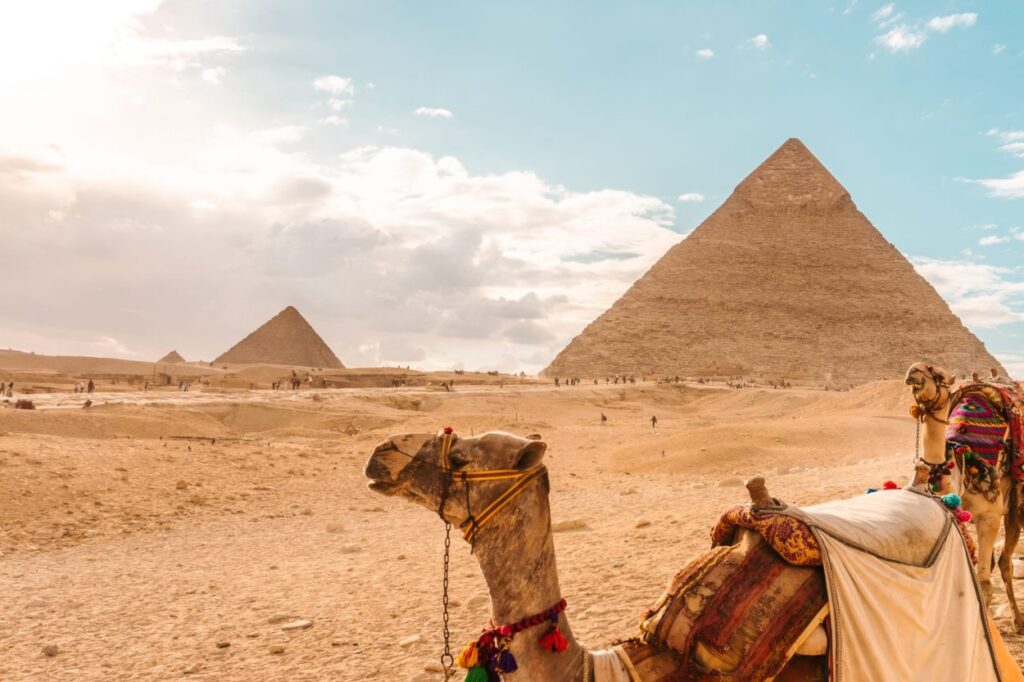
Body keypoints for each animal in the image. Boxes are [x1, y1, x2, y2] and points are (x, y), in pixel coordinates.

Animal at [905, 361, 1024, 632]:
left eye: (937, 373)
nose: (913, 371)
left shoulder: (989, 516)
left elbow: (984, 583)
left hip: (1015, 504)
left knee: (1005, 562)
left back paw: (1018, 621)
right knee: (1000, 562)